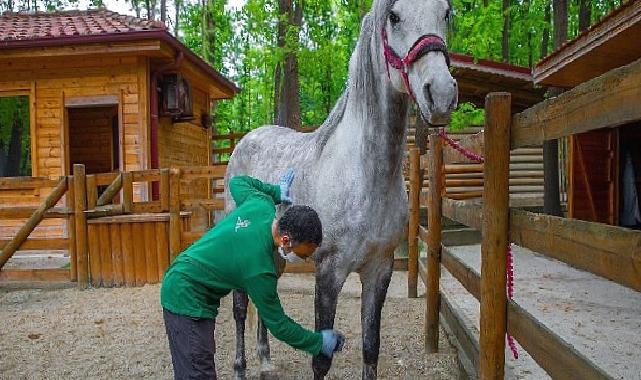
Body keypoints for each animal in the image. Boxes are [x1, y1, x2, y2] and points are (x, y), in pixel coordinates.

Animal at [224, 0, 456, 378]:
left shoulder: (379, 269)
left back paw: (266, 361)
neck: (364, 175)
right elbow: (321, 357)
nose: (441, 94)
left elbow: (370, 347)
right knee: (241, 307)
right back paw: (241, 367)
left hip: (275, 254)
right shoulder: (329, 271)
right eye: (394, 17)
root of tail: (246, 140)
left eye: (446, 12)